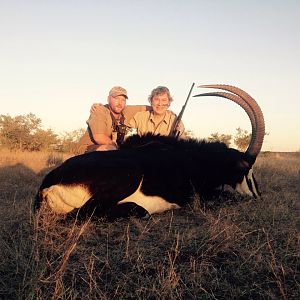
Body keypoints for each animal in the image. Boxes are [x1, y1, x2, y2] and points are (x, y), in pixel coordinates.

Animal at [34, 84, 264, 220]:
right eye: (248, 170)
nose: (259, 197)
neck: (195, 159)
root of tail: (48, 183)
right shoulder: (196, 195)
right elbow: (226, 197)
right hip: (129, 176)